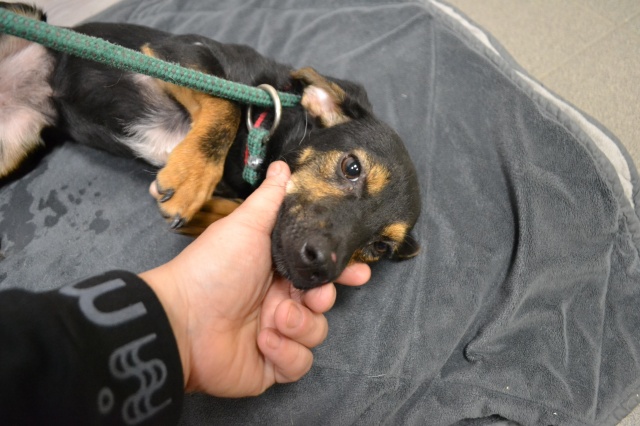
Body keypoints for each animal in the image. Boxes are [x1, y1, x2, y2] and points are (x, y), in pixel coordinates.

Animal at [0, 2, 421, 289]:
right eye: (352, 168)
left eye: (381, 248)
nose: (322, 268)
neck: (265, 126)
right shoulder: (179, 51)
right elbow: (227, 103)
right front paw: (192, 177)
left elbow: (240, 207)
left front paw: (202, 212)